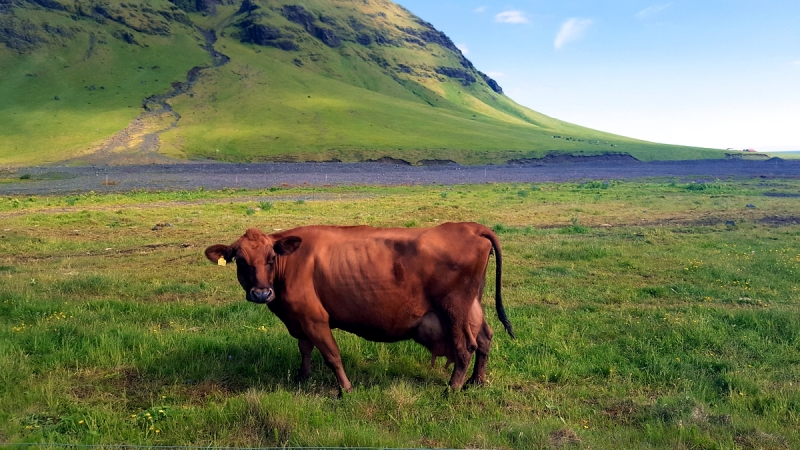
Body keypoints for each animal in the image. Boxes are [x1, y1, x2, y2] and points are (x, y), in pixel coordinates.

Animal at [206, 223, 516, 392]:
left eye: (271, 258)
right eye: (240, 260)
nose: (261, 293)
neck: (291, 265)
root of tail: (470, 226)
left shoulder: (315, 318)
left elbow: (332, 355)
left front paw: (345, 389)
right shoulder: (300, 319)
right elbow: (305, 349)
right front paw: (302, 377)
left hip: (454, 311)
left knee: (466, 348)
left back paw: (451, 389)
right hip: (473, 306)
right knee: (485, 338)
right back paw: (476, 382)